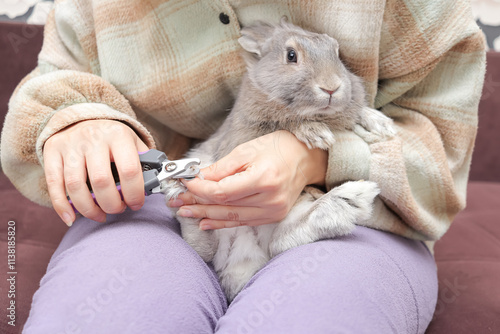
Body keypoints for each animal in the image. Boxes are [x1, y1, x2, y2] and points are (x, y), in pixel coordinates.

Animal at [166, 17, 396, 302]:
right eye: (291, 55)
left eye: (337, 53)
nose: (331, 86)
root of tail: (242, 260)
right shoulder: (245, 135)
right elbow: (287, 123)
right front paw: (315, 133)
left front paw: (380, 124)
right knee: (204, 243)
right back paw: (178, 190)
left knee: (282, 238)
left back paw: (350, 199)